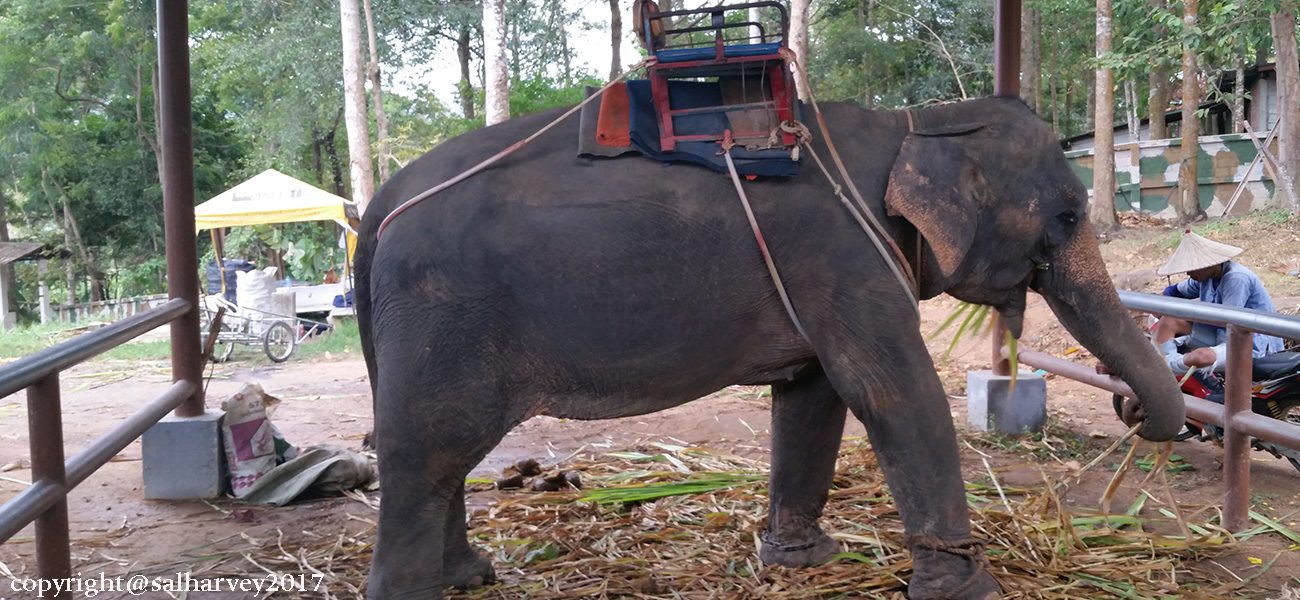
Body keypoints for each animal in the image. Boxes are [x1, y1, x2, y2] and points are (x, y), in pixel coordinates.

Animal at [353, 96, 1186, 599]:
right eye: (1068, 216)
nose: (1132, 408)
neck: (913, 125)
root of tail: (379, 204)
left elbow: (814, 396)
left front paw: (802, 562)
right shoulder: (845, 256)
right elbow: (892, 392)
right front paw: (969, 589)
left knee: (443, 458)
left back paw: (470, 576)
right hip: (443, 316)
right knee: (427, 449)